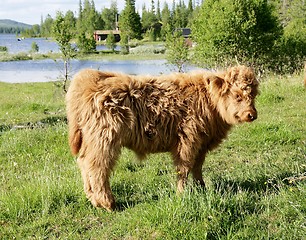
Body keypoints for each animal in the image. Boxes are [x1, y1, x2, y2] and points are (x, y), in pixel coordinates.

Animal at [66, 65, 258, 210]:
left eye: (253, 95)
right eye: (237, 96)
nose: (252, 115)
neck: (209, 102)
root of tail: (88, 77)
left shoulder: (202, 144)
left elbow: (197, 167)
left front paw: (201, 188)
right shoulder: (188, 139)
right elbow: (184, 168)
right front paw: (181, 194)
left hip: (91, 140)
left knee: (83, 162)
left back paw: (93, 199)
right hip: (104, 139)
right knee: (97, 167)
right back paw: (107, 203)